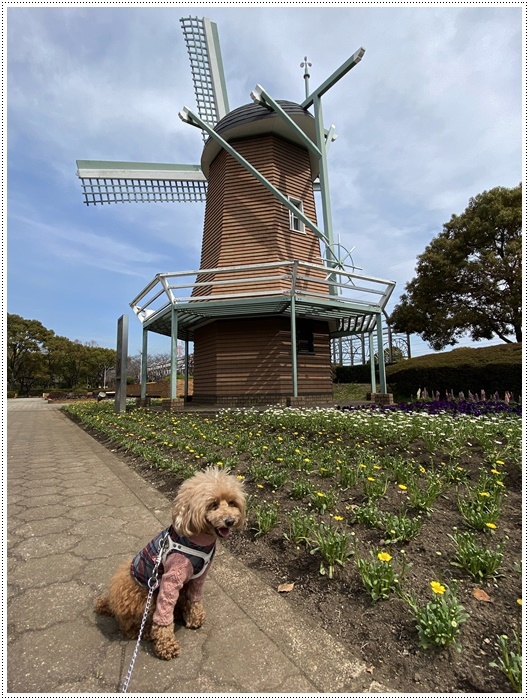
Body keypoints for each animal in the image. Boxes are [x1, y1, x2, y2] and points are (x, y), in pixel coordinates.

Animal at [94, 468, 245, 660]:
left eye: (232, 502)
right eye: (213, 505)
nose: (230, 521)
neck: (198, 541)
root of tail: (111, 603)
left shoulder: (198, 577)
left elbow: (194, 598)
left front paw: (194, 617)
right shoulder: (172, 578)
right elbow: (163, 615)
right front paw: (166, 644)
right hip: (146, 598)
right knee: (131, 629)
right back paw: (148, 632)